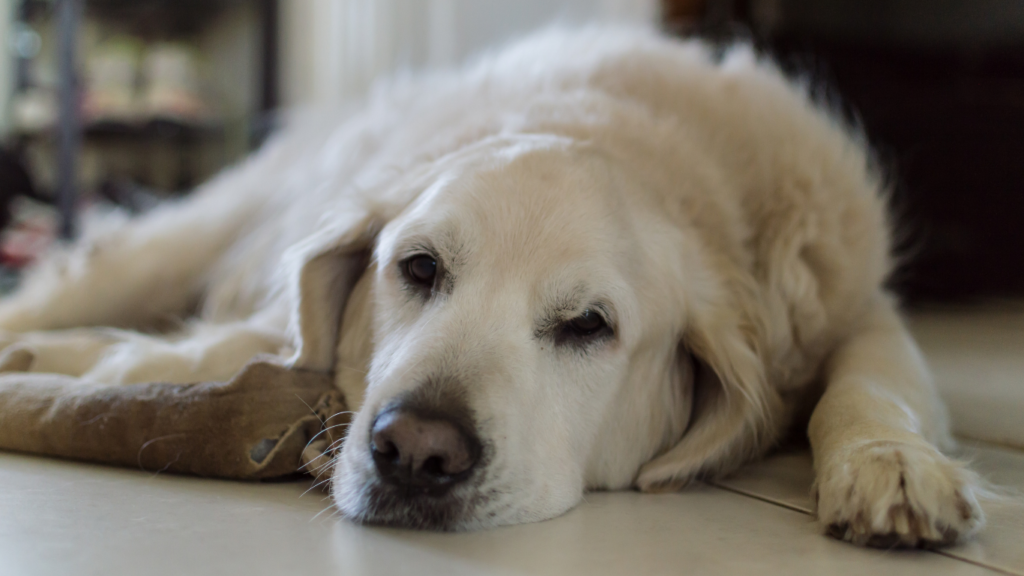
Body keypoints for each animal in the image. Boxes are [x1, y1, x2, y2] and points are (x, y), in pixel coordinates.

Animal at [0, 28, 978, 545]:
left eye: (589, 325)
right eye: (418, 268)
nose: (414, 452)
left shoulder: (861, 306)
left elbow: (873, 379)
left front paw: (890, 463)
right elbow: (229, 347)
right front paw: (82, 369)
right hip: (184, 238)